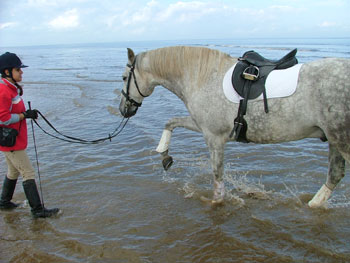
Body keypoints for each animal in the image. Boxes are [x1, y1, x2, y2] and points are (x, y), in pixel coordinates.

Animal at [119, 47, 348, 208]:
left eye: (124, 77)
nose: (123, 109)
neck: (203, 77)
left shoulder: (214, 137)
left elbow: (217, 174)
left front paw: (217, 201)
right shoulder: (202, 126)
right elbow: (171, 121)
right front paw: (164, 154)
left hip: (342, 140)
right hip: (334, 140)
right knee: (335, 175)